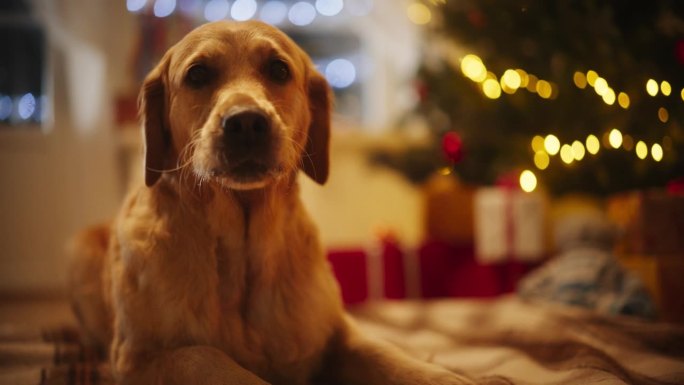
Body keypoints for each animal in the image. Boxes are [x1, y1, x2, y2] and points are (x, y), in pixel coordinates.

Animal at [69, 21, 476, 384]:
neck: (242, 253)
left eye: (278, 69)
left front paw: (446, 375)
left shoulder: (338, 334)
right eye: (198, 74)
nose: (246, 122)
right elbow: (207, 358)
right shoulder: (135, 358)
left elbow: (387, 354)